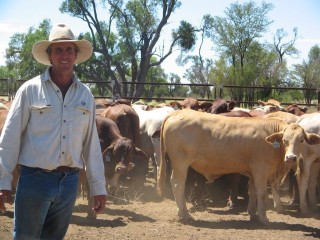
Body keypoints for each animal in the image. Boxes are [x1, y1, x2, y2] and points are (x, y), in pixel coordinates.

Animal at [157, 109, 320, 225]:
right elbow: (261, 193)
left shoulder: (253, 172)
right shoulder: (261, 170)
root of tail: (176, 113)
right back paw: (185, 215)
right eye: (285, 140)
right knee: (177, 184)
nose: (291, 157)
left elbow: (252, 192)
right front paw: (264, 218)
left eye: (301, 140)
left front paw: (253, 214)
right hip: (180, 164)